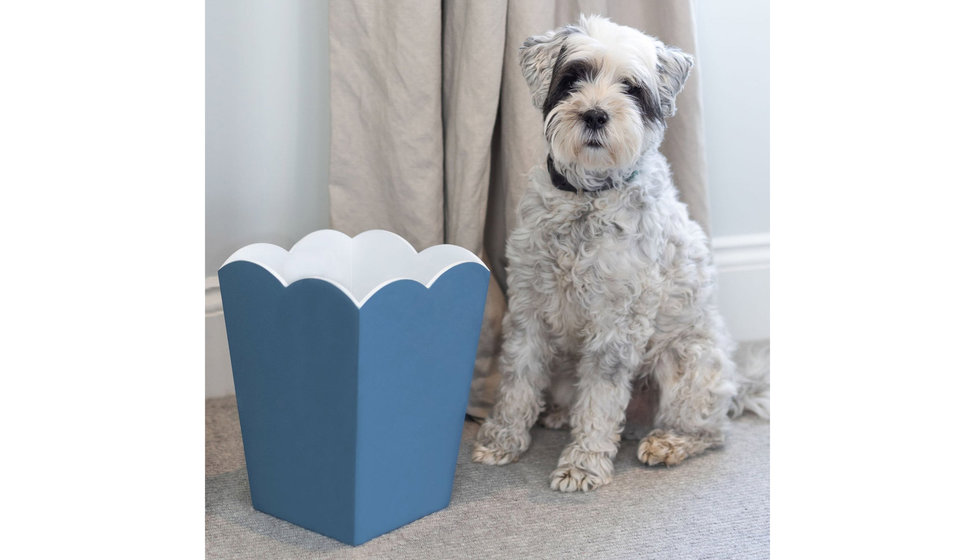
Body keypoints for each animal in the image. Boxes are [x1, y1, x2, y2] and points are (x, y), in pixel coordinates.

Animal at [470, 15, 768, 492]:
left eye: (631, 87)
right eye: (573, 78)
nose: (594, 114)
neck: (587, 200)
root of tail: (736, 386)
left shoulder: (617, 322)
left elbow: (601, 400)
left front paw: (582, 465)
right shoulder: (529, 308)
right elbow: (518, 382)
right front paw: (503, 441)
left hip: (687, 362)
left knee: (710, 430)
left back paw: (668, 443)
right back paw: (556, 413)